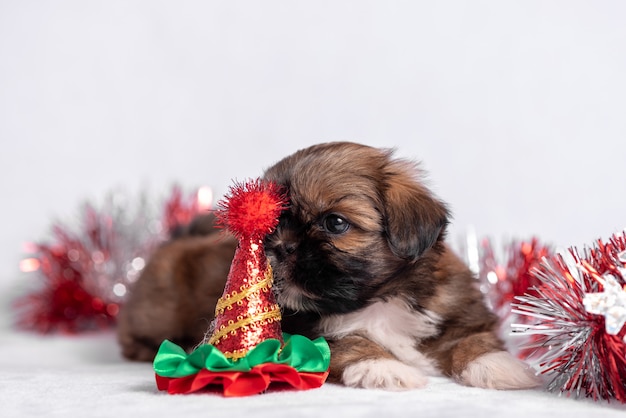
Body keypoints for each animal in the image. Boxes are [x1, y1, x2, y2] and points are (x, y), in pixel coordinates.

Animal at [118, 142, 540, 390]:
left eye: (335, 223)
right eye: (271, 226)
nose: (280, 247)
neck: (378, 302)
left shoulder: (455, 305)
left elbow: (472, 337)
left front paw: (498, 365)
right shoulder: (295, 333)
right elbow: (350, 341)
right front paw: (383, 368)